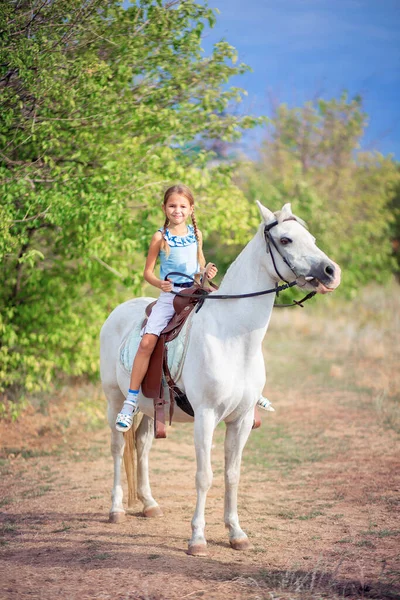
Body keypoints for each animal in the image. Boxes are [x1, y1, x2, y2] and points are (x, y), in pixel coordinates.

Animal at [99, 203, 340, 556]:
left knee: (141, 446)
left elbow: (232, 474)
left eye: (312, 238)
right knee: (118, 448)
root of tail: (117, 312)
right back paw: (116, 509)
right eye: (286, 239)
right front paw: (197, 539)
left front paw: (236, 533)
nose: (331, 272)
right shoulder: (206, 417)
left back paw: (149, 504)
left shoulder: (240, 421)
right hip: (115, 400)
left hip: (150, 408)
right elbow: (204, 476)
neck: (233, 336)